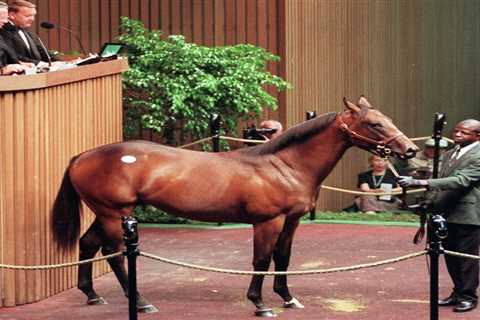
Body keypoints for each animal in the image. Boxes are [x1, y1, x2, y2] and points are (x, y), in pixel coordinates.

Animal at [49, 96, 416, 316]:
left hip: (106, 213)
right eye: (374, 124)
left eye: (386, 118)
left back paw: (92, 294)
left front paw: (287, 297)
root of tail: (82, 155)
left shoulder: (292, 221)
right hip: (115, 214)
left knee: (88, 243)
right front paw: (260, 303)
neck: (283, 165)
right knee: (115, 255)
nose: (410, 149)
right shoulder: (267, 222)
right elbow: (262, 259)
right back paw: (140, 302)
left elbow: (283, 258)